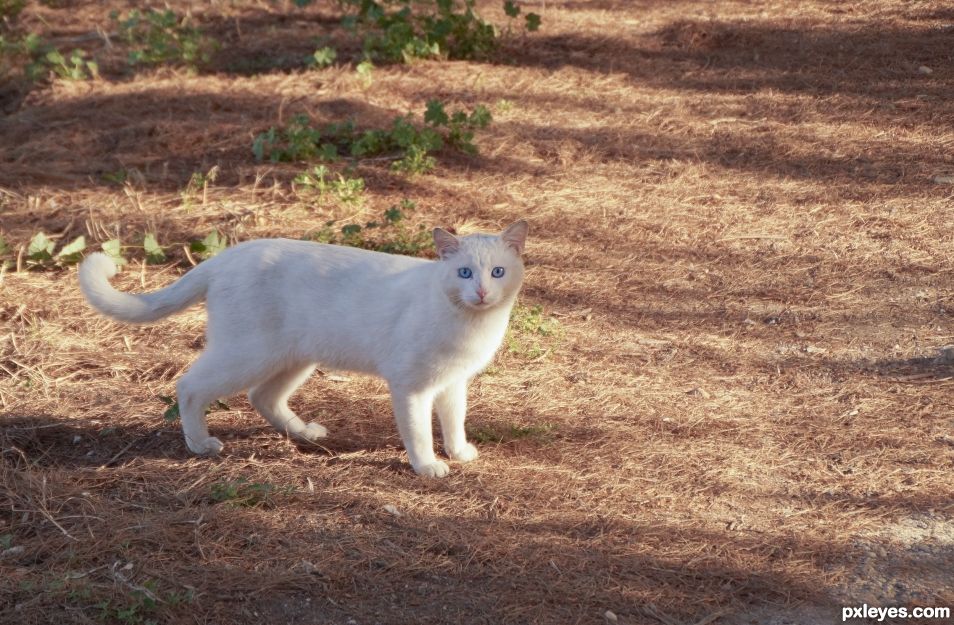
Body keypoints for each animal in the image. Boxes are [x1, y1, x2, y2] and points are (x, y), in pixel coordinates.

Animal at [80, 221, 528, 478]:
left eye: (497, 272)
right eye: (464, 273)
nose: (481, 292)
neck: (471, 324)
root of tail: (229, 255)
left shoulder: (452, 384)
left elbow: (454, 422)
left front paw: (458, 452)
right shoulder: (411, 387)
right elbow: (419, 433)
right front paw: (429, 466)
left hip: (292, 358)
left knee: (263, 397)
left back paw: (304, 433)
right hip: (246, 354)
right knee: (189, 387)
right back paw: (200, 445)